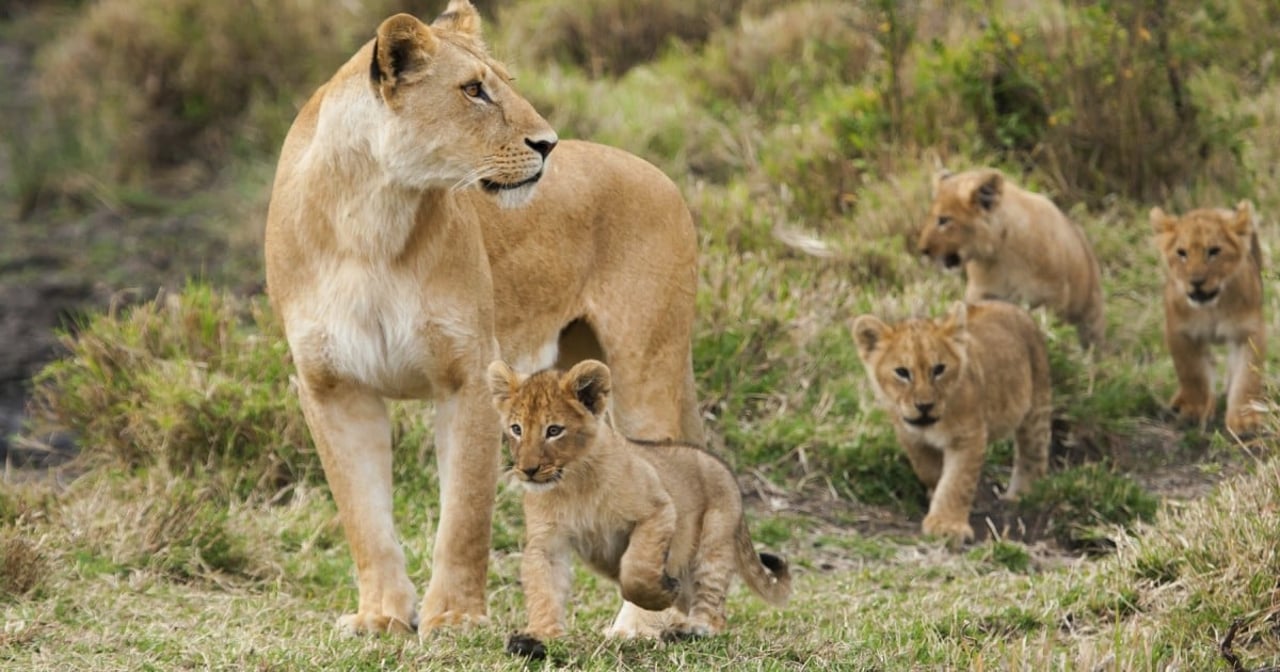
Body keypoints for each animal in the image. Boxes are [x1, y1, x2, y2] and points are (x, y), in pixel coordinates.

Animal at [261, 2, 701, 634]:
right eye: (473, 90)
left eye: (504, 84)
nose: (548, 144)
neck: (370, 216)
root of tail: (661, 175)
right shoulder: (331, 386)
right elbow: (362, 515)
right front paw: (381, 618)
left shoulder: (468, 374)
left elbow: (465, 513)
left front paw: (454, 618)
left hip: (647, 367)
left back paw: (639, 625)